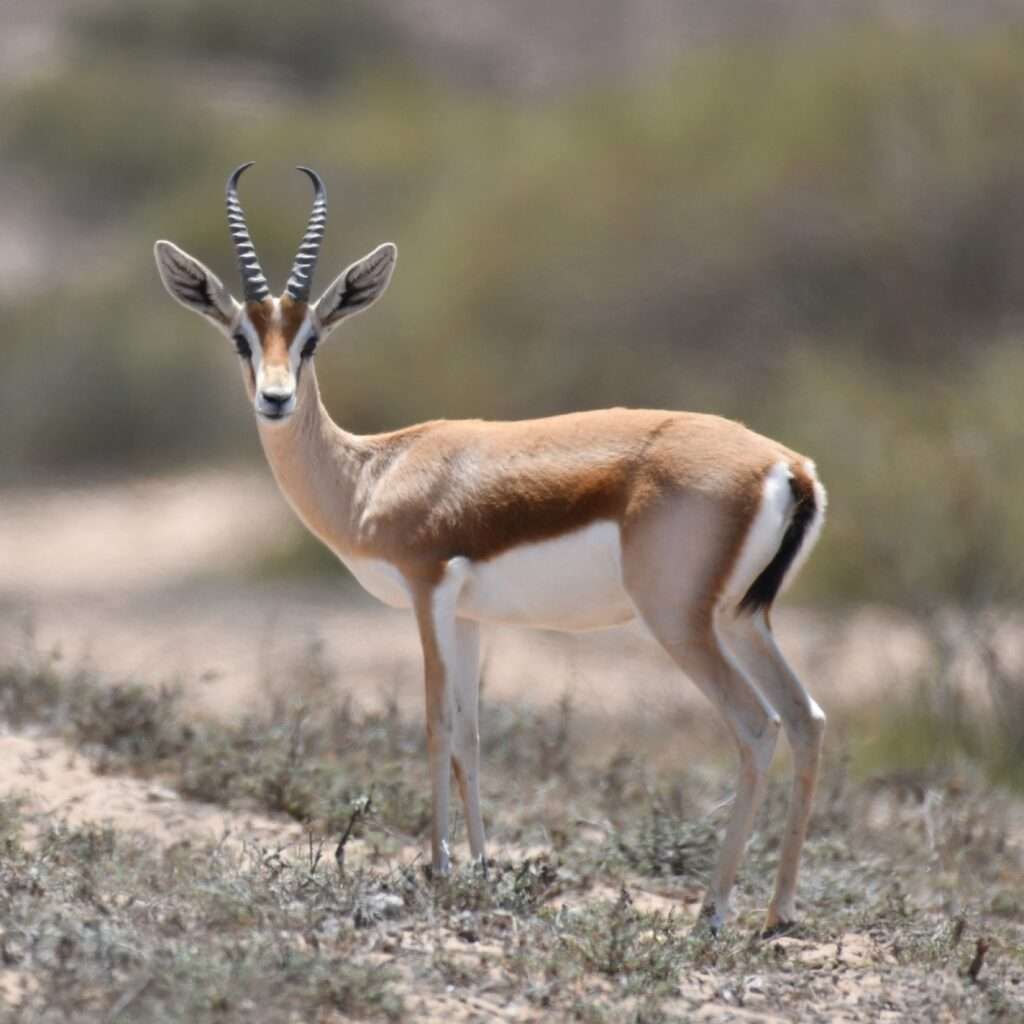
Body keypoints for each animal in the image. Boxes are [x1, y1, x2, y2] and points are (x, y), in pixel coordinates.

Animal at [154, 164, 827, 933]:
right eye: (242, 337)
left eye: (311, 339)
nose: (275, 399)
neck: (374, 472)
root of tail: (787, 466)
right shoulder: (471, 617)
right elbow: (472, 739)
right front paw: (478, 867)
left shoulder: (428, 594)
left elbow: (435, 726)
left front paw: (441, 868)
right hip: (742, 619)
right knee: (806, 719)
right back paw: (778, 913)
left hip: (680, 622)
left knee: (757, 726)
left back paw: (713, 912)